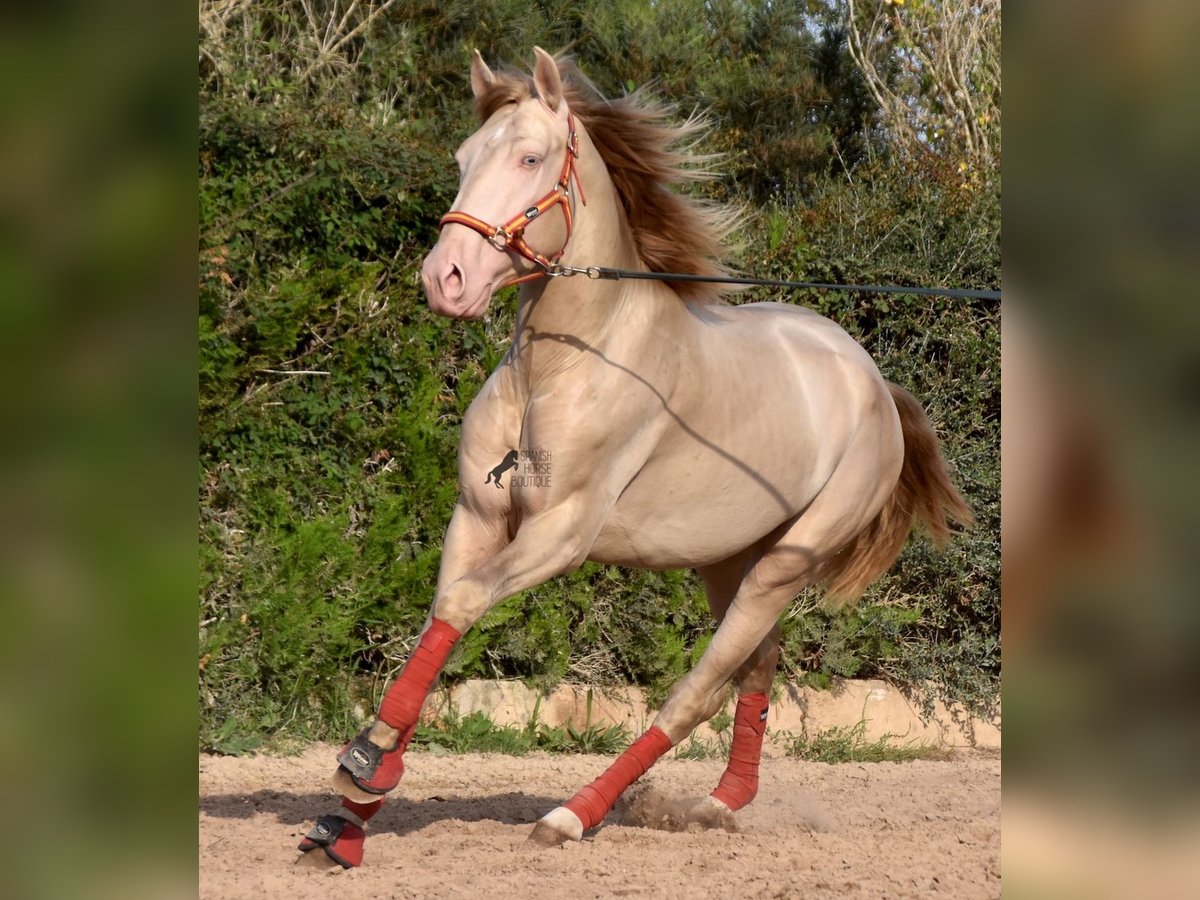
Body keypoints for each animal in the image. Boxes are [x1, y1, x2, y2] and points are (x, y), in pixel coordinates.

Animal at [300, 45, 974, 868]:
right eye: (463, 157)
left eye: (530, 158)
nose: (445, 279)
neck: (561, 365)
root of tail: (875, 383)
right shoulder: (479, 515)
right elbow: (441, 615)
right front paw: (351, 815)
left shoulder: (560, 532)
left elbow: (460, 604)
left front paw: (365, 766)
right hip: (728, 562)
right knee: (757, 668)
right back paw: (716, 805)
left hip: (785, 566)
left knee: (697, 692)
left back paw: (572, 814)